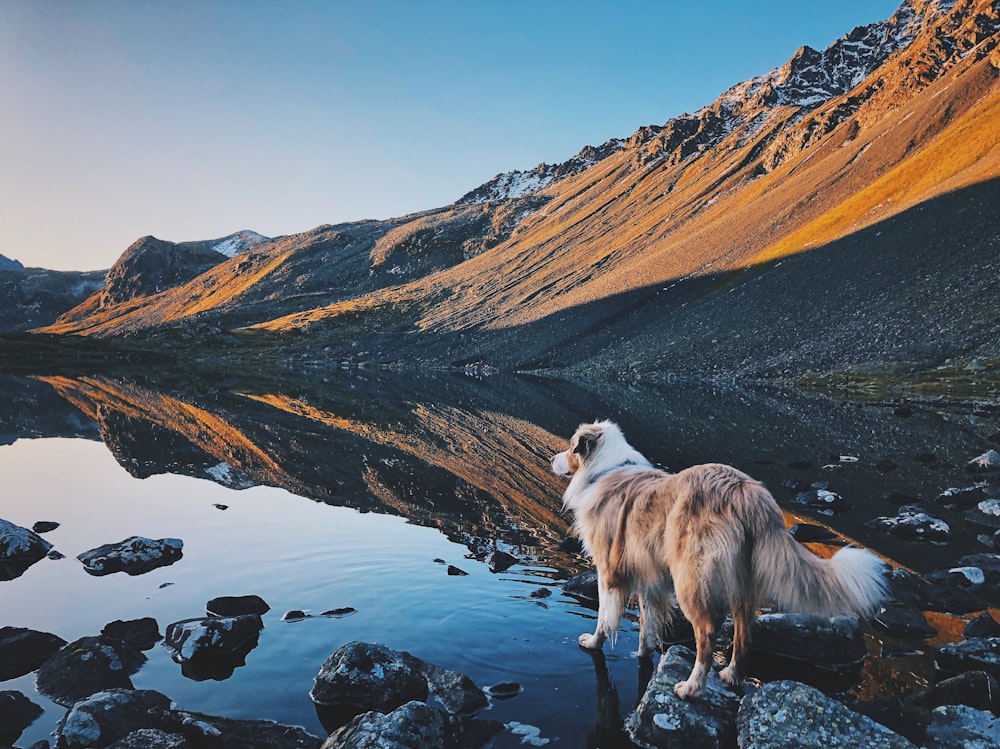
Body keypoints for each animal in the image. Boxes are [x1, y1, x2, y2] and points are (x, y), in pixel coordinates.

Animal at [552, 420, 888, 700]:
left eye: (570, 447)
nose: (552, 459)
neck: (604, 469)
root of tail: (746, 492)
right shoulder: (649, 575)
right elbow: (648, 623)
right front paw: (642, 654)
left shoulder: (608, 572)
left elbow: (604, 617)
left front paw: (593, 643)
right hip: (741, 581)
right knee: (744, 631)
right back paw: (731, 675)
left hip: (691, 579)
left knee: (707, 634)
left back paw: (692, 687)